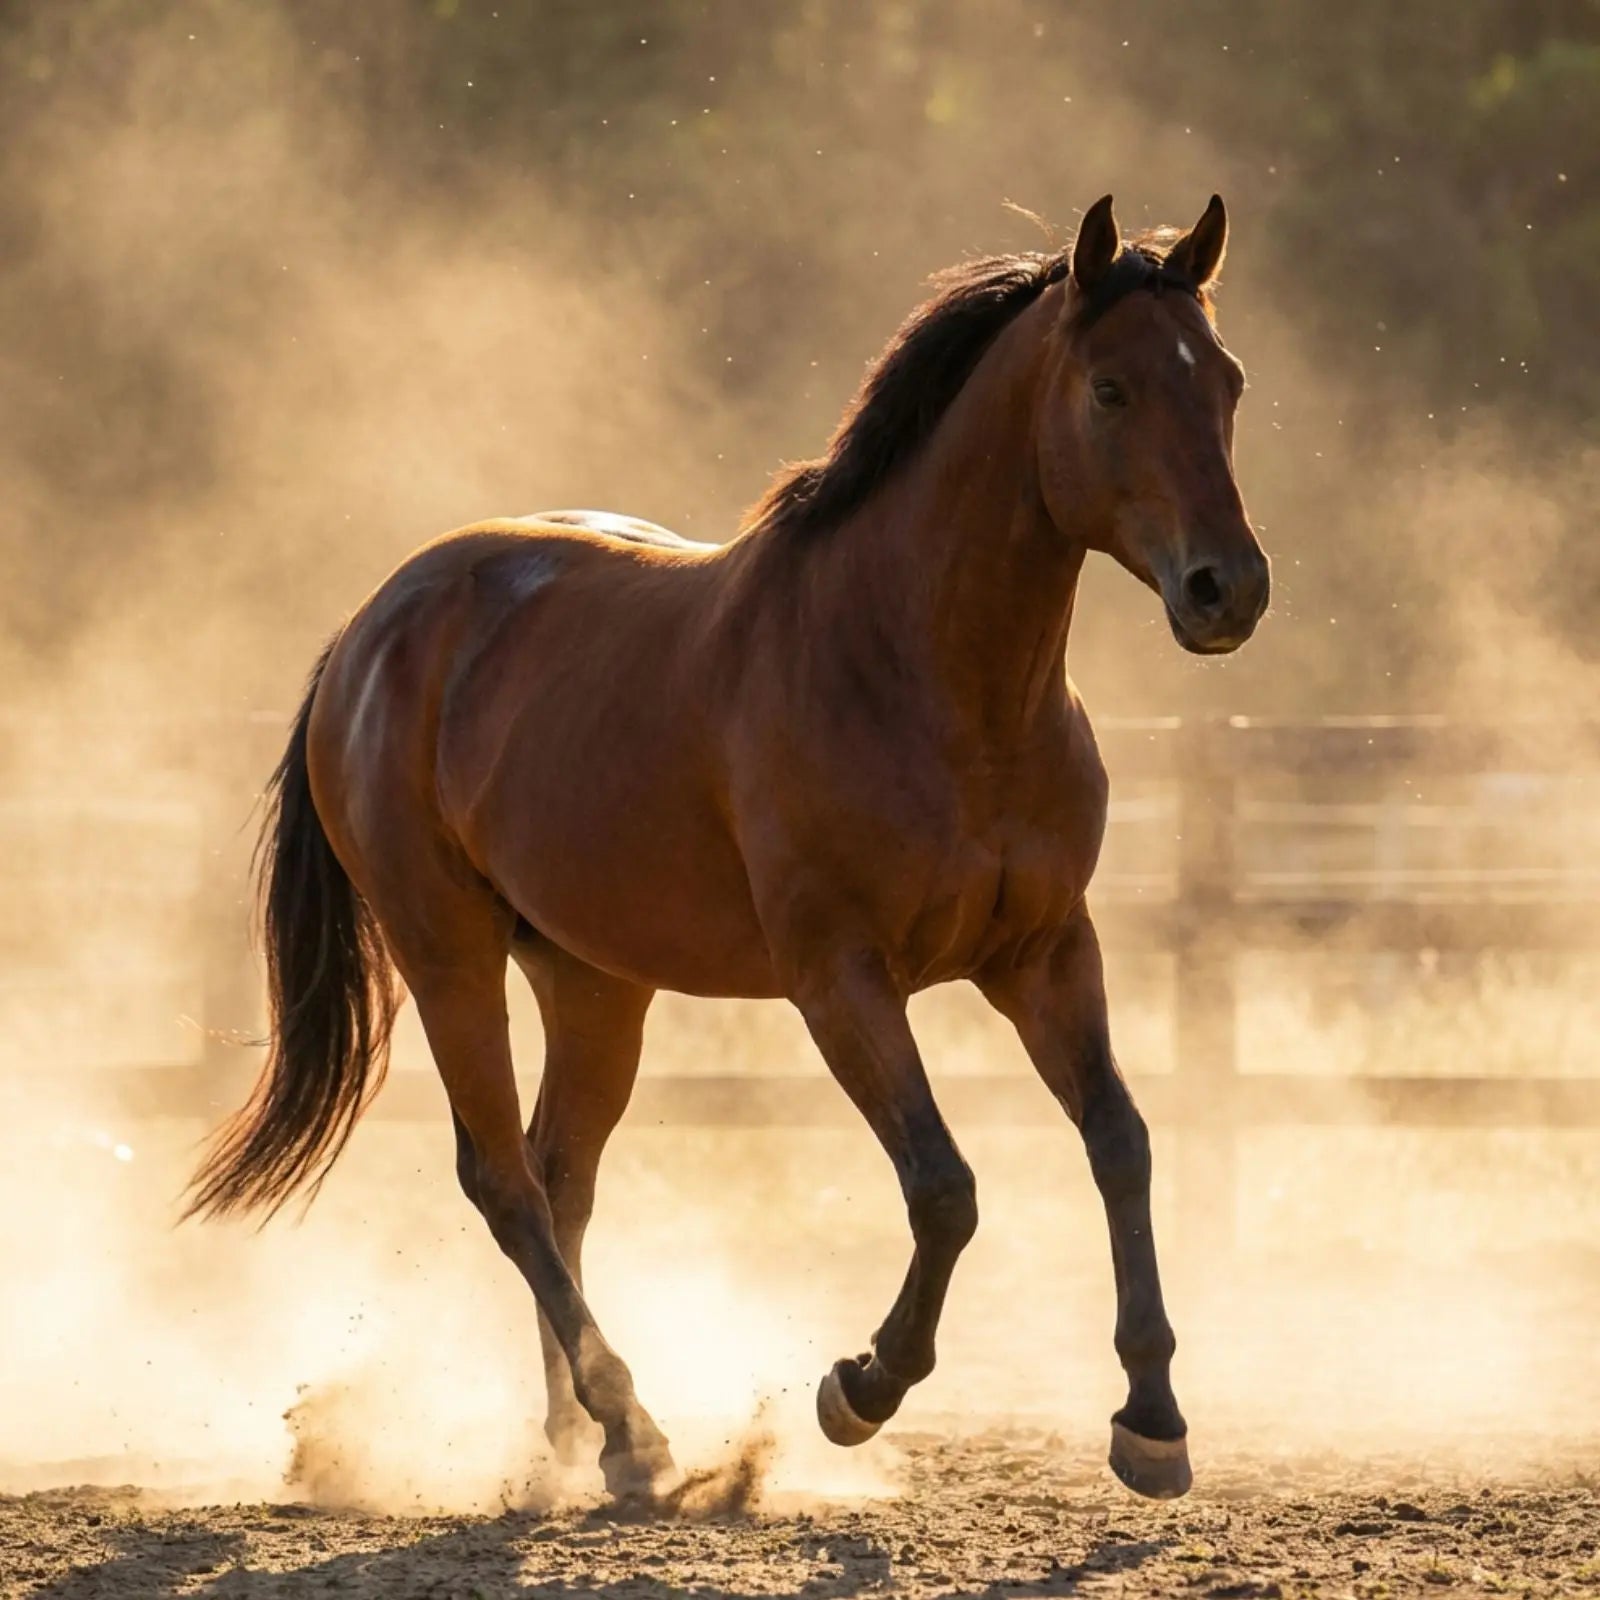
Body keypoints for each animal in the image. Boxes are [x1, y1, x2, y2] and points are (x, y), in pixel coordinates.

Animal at [187, 193, 1269, 1502]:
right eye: (1110, 388)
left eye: (1225, 379)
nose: (1227, 590)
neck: (930, 680)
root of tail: (370, 629)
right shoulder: (838, 977)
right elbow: (944, 1187)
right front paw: (858, 1387)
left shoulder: (1046, 953)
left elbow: (1120, 1143)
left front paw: (1152, 1420)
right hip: (448, 956)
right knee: (503, 1181)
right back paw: (635, 1426)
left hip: (594, 981)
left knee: (560, 1177)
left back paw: (581, 1440)